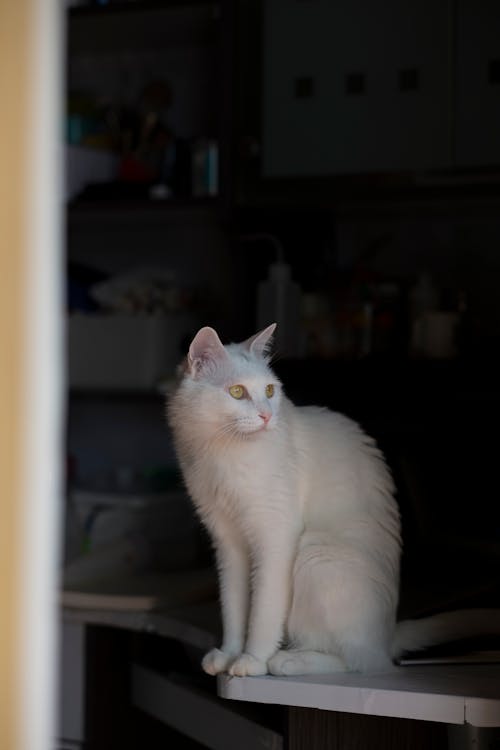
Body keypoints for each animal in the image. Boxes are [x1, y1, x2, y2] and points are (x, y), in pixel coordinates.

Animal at [169, 326, 500, 680]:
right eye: (237, 392)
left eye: (270, 390)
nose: (267, 416)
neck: (221, 452)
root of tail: (386, 635)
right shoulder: (228, 544)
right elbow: (233, 608)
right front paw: (228, 655)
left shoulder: (275, 537)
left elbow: (262, 612)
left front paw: (251, 660)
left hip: (316, 556)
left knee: (361, 661)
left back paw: (287, 661)